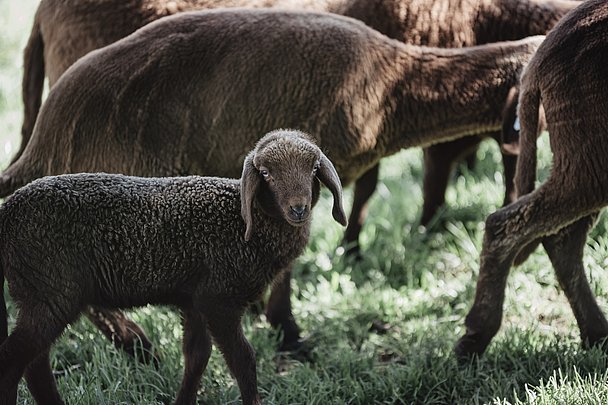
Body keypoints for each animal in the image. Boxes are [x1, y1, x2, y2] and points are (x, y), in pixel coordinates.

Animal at [0, 129, 346, 404]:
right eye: (265, 173)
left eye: (314, 168)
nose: (298, 209)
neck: (245, 222)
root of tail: (8, 214)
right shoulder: (219, 299)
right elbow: (243, 359)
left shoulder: (194, 300)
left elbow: (197, 357)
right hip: (50, 291)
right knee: (14, 360)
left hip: (40, 292)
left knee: (35, 364)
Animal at [454, 0, 608, 358]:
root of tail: (541, 58)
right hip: (591, 156)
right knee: (507, 225)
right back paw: (476, 335)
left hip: (585, 156)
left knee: (562, 238)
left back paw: (597, 334)